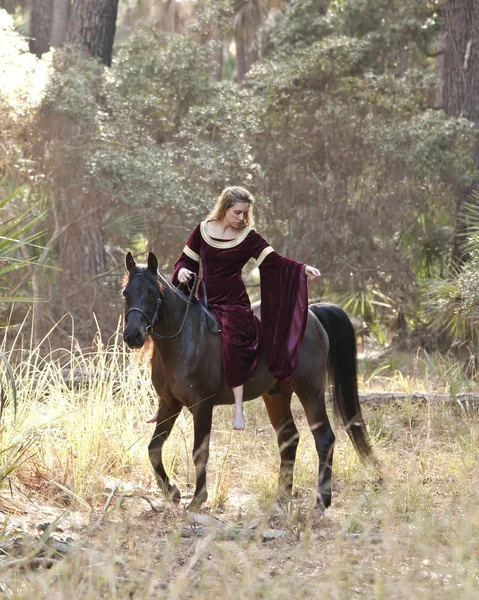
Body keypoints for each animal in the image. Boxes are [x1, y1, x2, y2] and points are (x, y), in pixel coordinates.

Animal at [122, 251, 374, 508]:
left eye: (152, 293)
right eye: (126, 294)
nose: (133, 336)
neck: (183, 339)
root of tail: (311, 314)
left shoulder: (202, 405)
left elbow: (199, 451)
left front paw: (197, 499)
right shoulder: (169, 403)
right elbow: (154, 448)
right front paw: (172, 492)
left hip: (310, 390)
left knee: (324, 438)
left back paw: (321, 501)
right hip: (276, 395)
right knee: (289, 438)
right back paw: (281, 496)